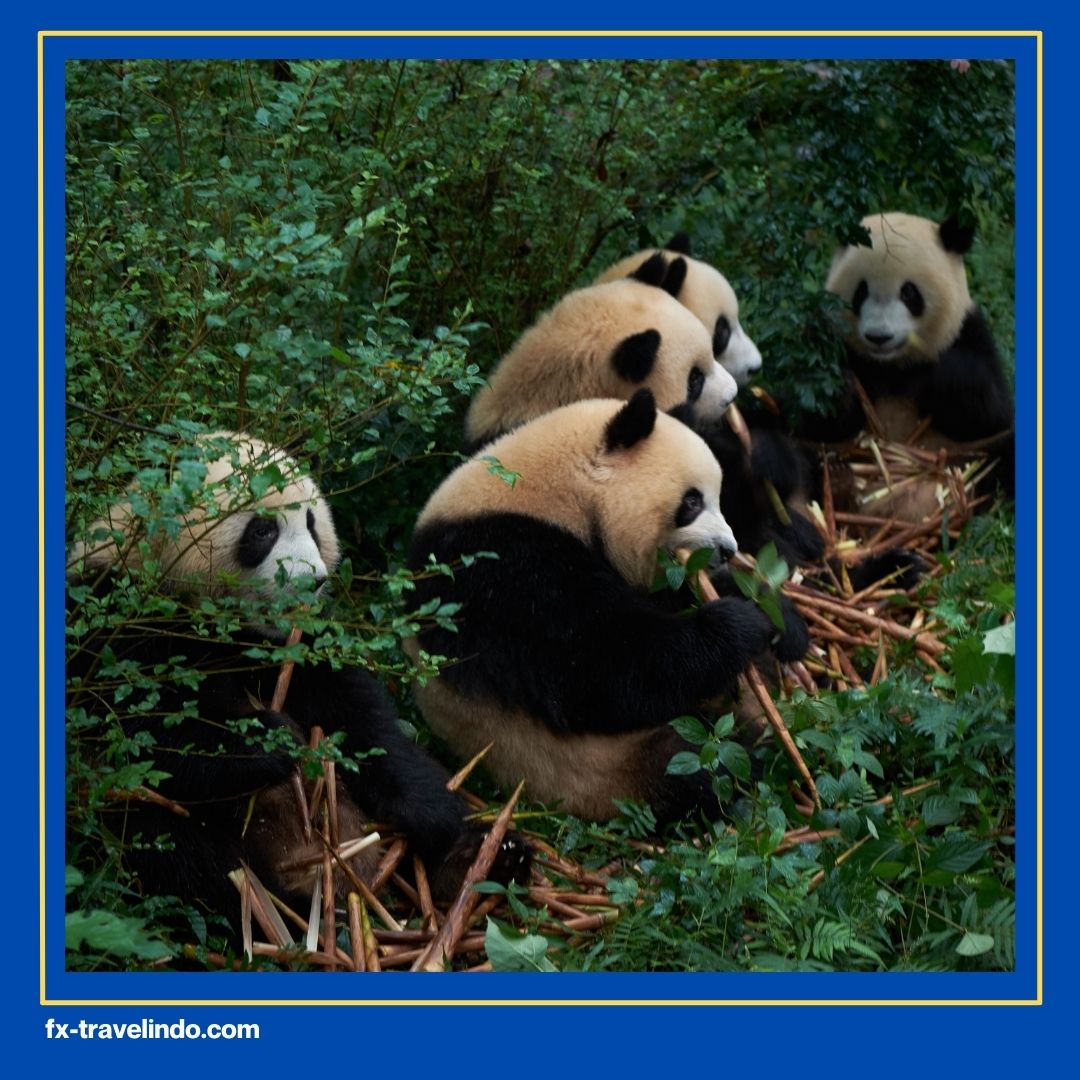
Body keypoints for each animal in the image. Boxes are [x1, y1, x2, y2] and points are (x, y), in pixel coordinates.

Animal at [67, 431, 529, 933]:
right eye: (262, 531)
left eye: (311, 524)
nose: (313, 582)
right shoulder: (112, 618)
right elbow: (143, 728)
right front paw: (271, 742)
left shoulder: (300, 642)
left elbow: (360, 717)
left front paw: (436, 814)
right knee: (178, 850)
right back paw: (282, 912)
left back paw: (480, 858)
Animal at [407, 392, 806, 823]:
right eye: (692, 502)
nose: (728, 550)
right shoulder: (502, 571)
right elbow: (600, 669)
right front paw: (739, 624)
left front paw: (782, 621)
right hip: (598, 770)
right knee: (699, 765)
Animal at [812, 211, 1014, 518]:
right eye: (861, 291)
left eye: (909, 293)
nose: (879, 336)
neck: (894, 367)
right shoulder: (834, 343)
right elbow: (816, 419)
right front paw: (840, 388)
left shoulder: (971, 332)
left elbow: (989, 411)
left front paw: (944, 376)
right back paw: (837, 481)